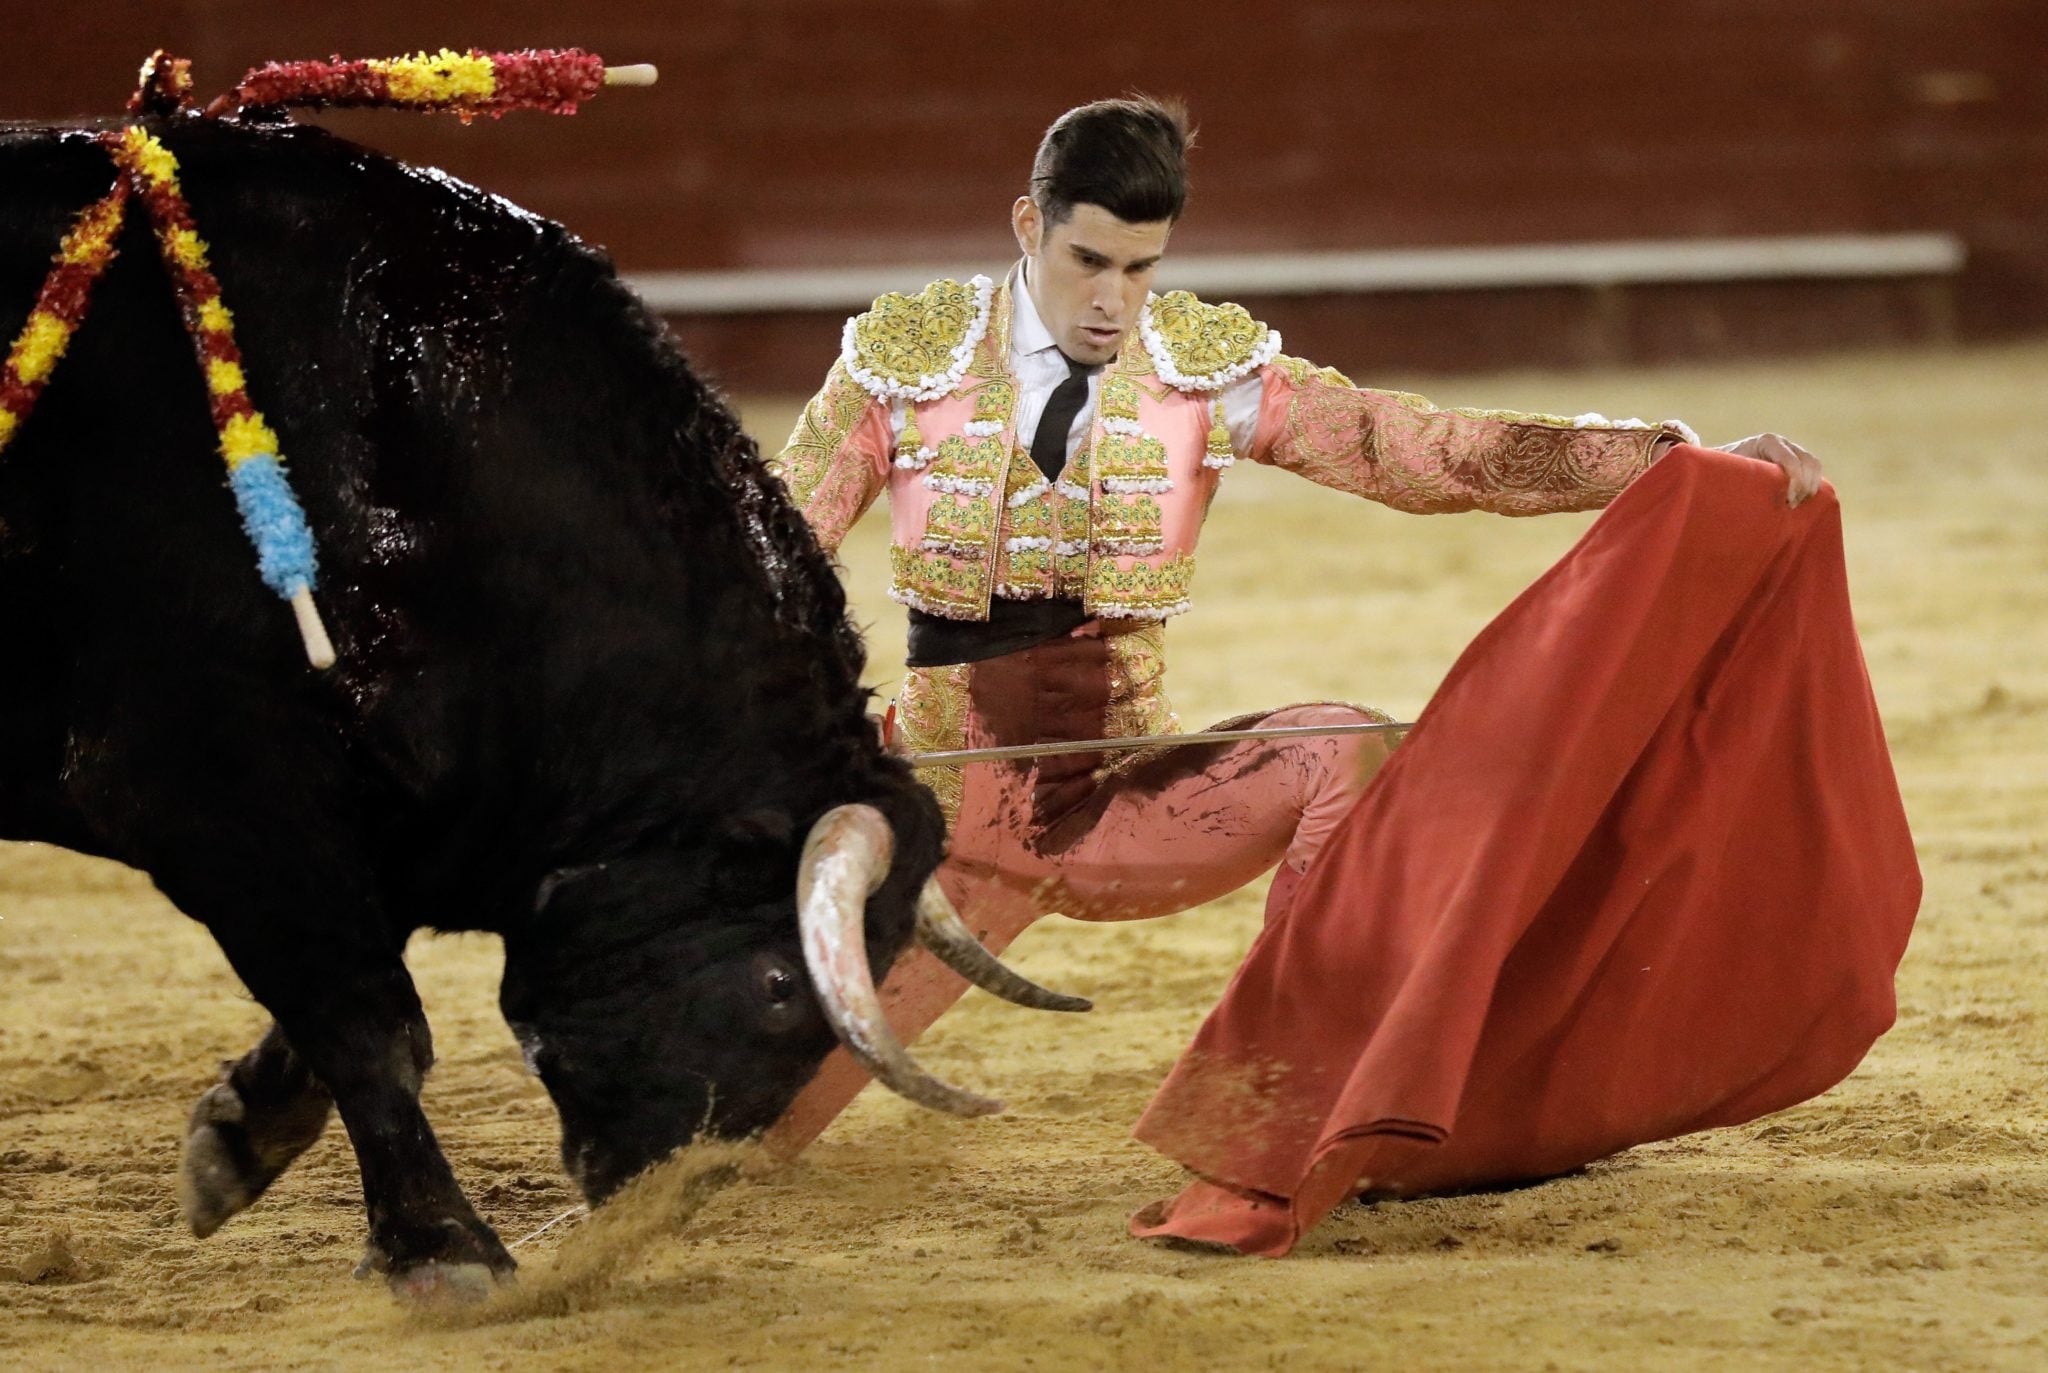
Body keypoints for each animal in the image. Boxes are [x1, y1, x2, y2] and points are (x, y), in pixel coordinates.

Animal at [0, 118, 942, 1295]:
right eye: (779, 981)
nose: (665, 1191)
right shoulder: (204, 777)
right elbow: (371, 1020)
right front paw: (443, 1248)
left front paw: (236, 1134)